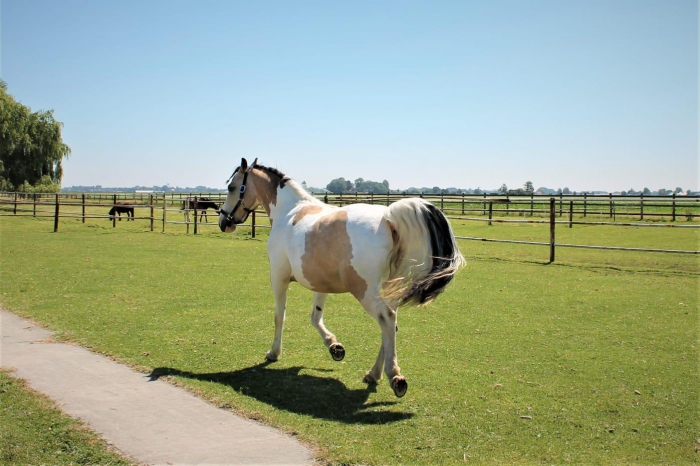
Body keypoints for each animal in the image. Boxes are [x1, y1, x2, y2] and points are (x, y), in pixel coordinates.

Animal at [219, 157, 464, 396]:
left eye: (232, 187)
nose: (224, 222)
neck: (289, 211)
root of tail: (388, 219)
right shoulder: (320, 283)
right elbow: (315, 317)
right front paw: (335, 347)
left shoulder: (278, 277)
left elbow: (280, 316)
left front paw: (274, 352)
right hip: (385, 291)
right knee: (391, 324)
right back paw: (373, 374)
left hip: (365, 291)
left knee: (387, 319)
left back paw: (394, 377)